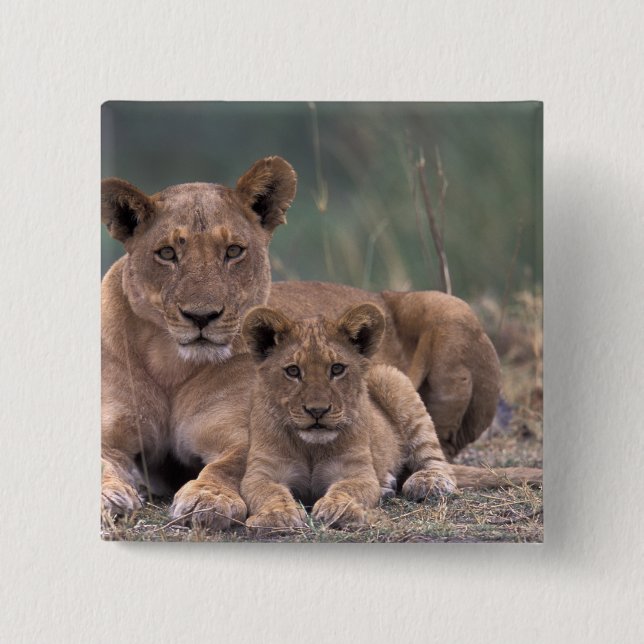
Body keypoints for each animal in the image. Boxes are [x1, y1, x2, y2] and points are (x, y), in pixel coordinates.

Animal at [101, 155, 523, 531]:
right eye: (167, 253)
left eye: (233, 251)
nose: (202, 317)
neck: (170, 365)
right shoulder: (113, 433)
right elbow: (104, 461)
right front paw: (110, 495)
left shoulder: (247, 437)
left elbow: (227, 465)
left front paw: (207, 498)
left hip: (451, 308)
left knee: (437, 450)